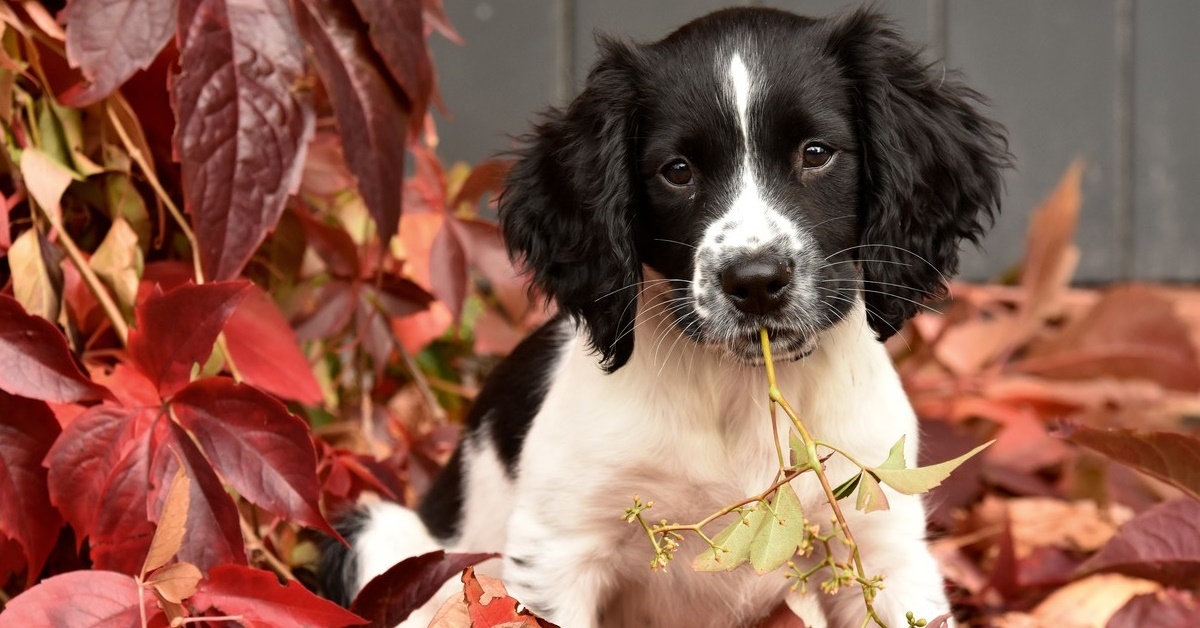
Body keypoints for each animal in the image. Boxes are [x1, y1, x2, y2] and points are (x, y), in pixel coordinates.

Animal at [324, 6, 1008, 628]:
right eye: (677, 171)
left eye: (817, 153)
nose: (755, 282)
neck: (740, 390)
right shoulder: (558, 552)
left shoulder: (882, 548)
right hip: (384, 535)